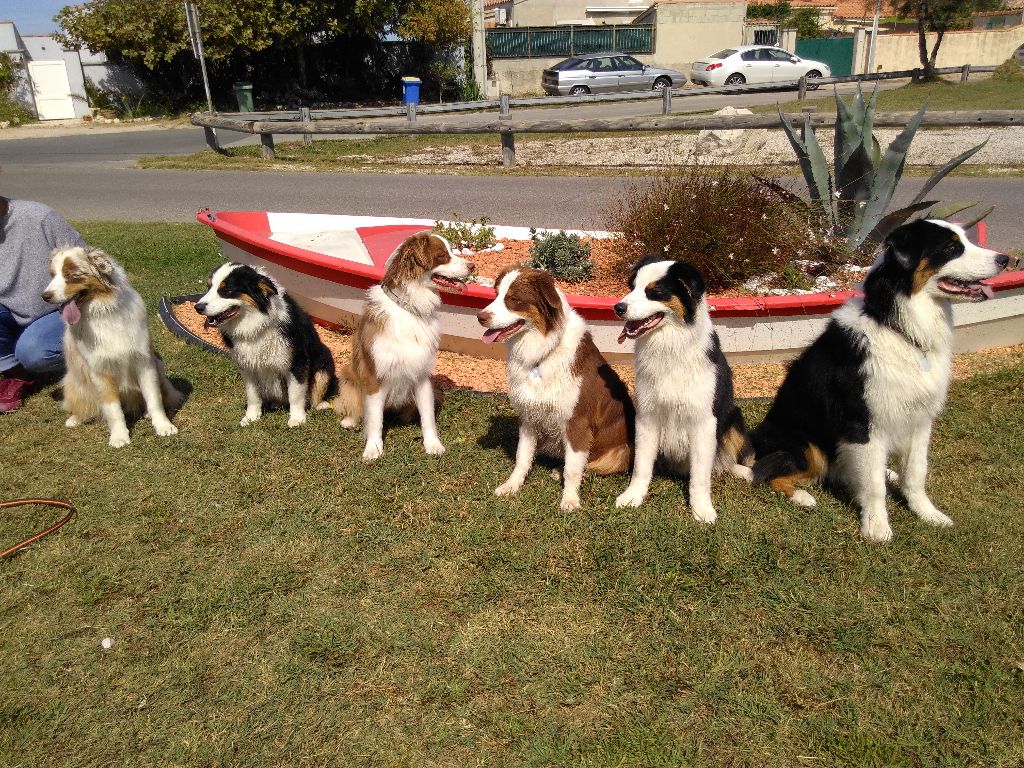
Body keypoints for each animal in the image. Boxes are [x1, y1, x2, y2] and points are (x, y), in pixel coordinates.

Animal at [198, 264, 339, 430]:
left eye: (227, 290)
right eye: (209, 287)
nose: (197, 307)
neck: (255, 324)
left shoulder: (297, 361)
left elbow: (296, 394)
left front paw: (297, 419)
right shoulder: (247, 365)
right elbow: (252, 394)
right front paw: (251, 417)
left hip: (325, 360)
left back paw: (321, 405)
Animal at [606, 257, 753, 524]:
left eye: (655, 292)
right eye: (632, 287)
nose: (617, 307)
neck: (670, 347)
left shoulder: (704, 421)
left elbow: (701, 476)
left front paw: (702, 509)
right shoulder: (647, 415)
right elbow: (641, 465)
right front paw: (633, 497)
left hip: (734, 417)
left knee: (726, 461)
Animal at [753, 219, 1007, 544]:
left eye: (965, 238)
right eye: (951, 247)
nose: (1005, 259)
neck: (897, 326)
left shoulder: (920, 418)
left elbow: (916, 473)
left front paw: (927, 513)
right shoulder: (863, 423)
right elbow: (873, 486)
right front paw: (876, 527)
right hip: (807, 446)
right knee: (767, 472)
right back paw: (802, 496)